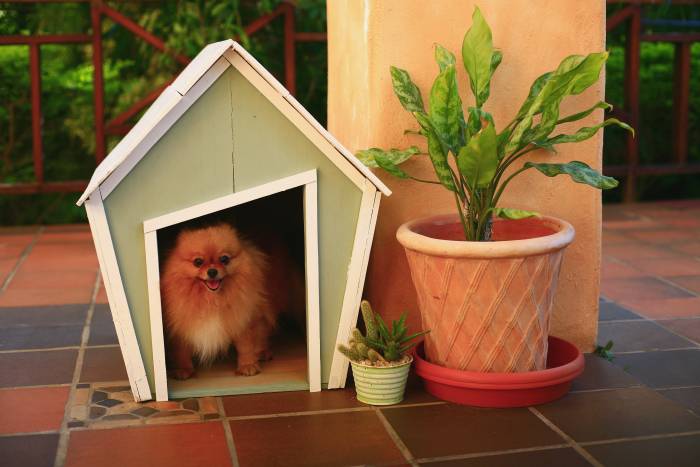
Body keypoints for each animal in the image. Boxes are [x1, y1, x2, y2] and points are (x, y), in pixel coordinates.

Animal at [161, 223, 300, 380]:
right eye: (198, 262)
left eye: (224, 259)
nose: (212, 271)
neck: (211, 299)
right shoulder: (181, 323)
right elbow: (181, 350)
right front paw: (183, 369)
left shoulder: (243, 317)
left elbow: (246, 345)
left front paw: (247, 365)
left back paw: (262, 351)